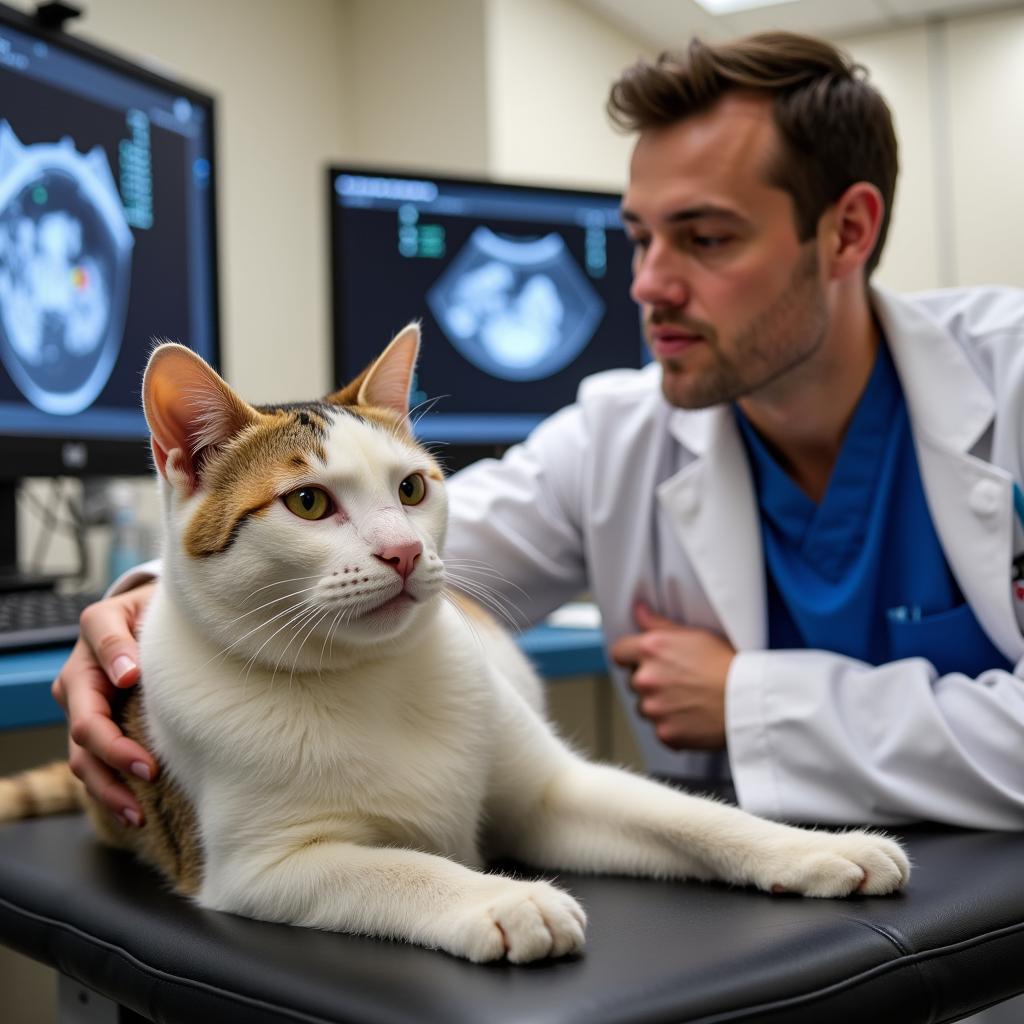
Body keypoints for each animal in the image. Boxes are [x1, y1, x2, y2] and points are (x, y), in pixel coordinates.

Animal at [0, 323, 913, 962]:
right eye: (307, 503)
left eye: (412, 489)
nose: (404, 553)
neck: (369, 678)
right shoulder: (262, 868)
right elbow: (401, 868)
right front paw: (500, 899)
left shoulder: (554, 794)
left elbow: (692, 816)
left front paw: (815, 846)